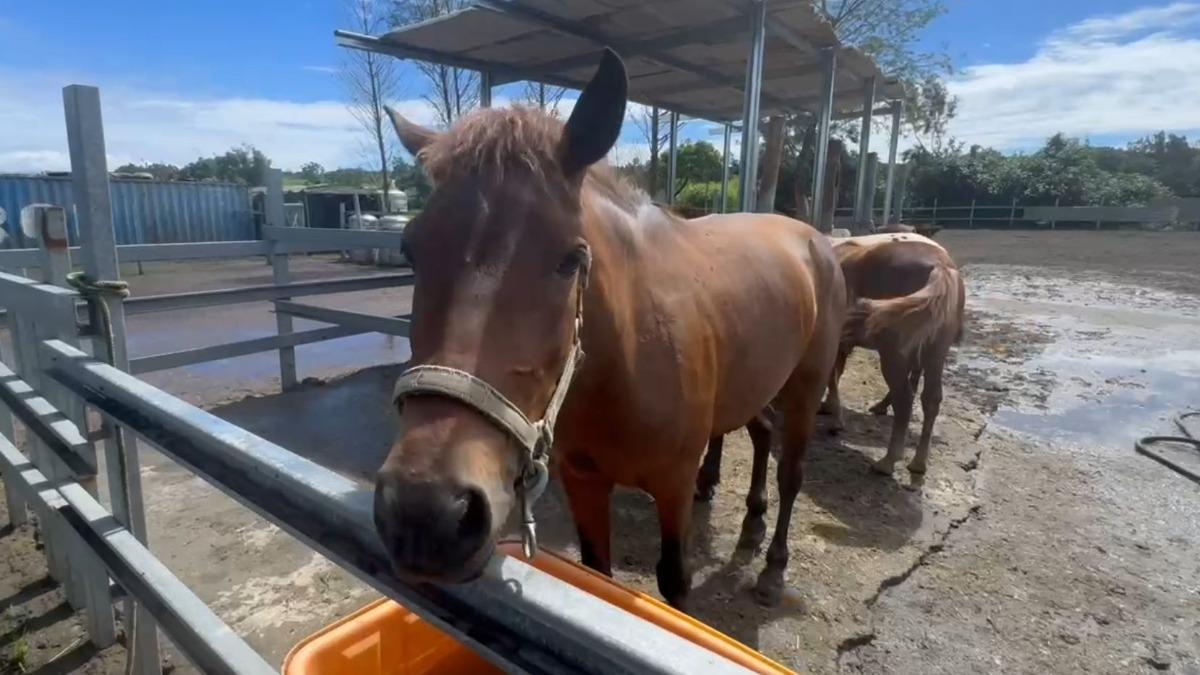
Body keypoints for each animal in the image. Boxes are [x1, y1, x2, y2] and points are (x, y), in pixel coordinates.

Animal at [372, 49, 847, 610]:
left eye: (571, 259)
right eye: (410, 250)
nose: (427, 515)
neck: (628, 357)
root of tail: (814, 240)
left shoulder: (674, 483)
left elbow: (674, 581)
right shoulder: (583, 483)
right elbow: (597, 574)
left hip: (805, 389)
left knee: (791, 473)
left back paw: (773, 568)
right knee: (762, 433)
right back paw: (751, 527)